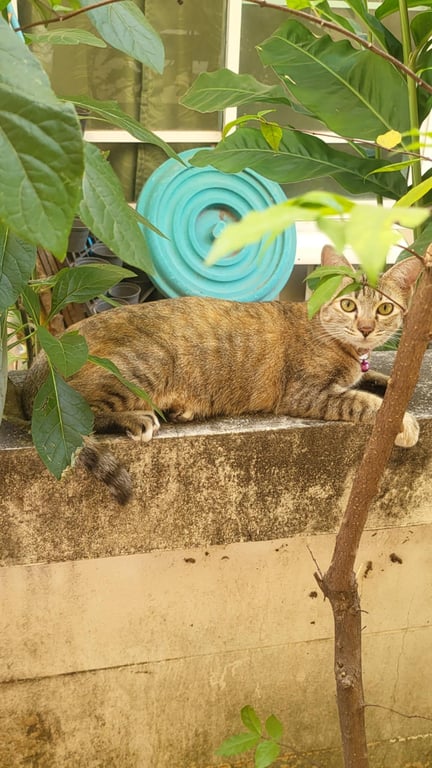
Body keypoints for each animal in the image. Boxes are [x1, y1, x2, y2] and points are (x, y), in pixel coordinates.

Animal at [22, 245, 422, 504]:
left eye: (385, 308)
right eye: (349, 304)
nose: (367, 329)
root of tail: (45, 356)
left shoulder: (359, 373)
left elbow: (380, 380)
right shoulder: (306, 394)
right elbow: (366, 402)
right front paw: (404, 423)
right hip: (149, 362)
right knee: (76, 417)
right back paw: (136, 417)